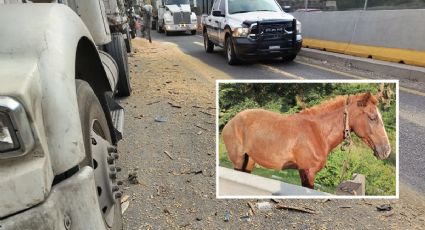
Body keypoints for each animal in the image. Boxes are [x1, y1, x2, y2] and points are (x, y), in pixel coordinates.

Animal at [222, 92, 390, 190]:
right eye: (372, 117)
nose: (386, 150)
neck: (318, 131)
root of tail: (231, 122)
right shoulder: (308, 172)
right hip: (238, 161)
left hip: (250, 161)